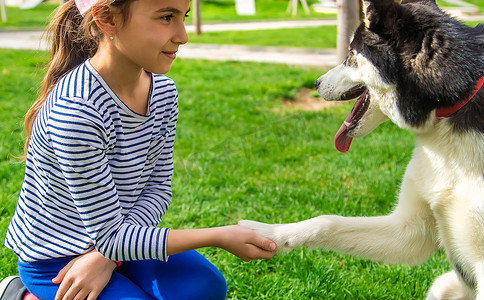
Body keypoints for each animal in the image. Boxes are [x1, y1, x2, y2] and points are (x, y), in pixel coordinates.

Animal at [238, 0, 484, 298]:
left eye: (351, 55)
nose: (316, 83)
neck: (452, 109)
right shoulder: (409, 231)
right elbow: (326, 221)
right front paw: (265, 232)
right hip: (442, 285)